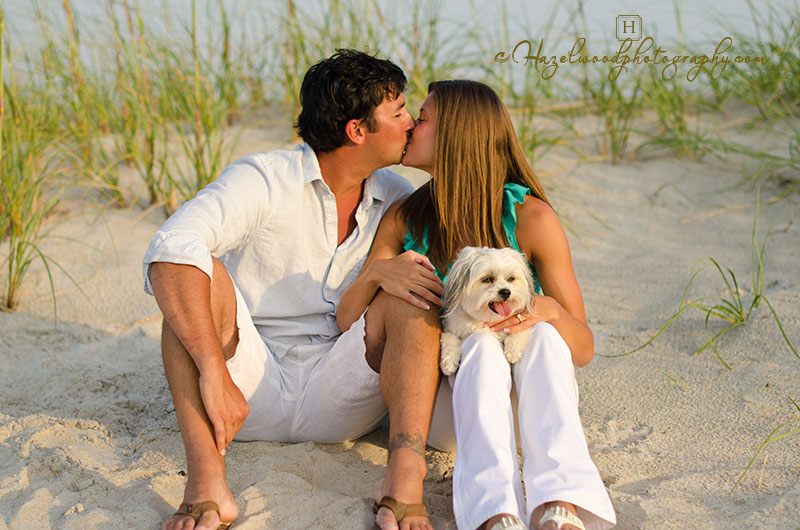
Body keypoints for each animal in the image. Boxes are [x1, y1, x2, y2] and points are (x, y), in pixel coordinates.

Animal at [440, 245, 536, 374]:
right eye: (487, 279)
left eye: (511, 279)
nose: (506, 292)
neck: (486, 319)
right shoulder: (450, 329)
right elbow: (448, 339)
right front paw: (449, 362)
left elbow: (520, 329)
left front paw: (513, 350)